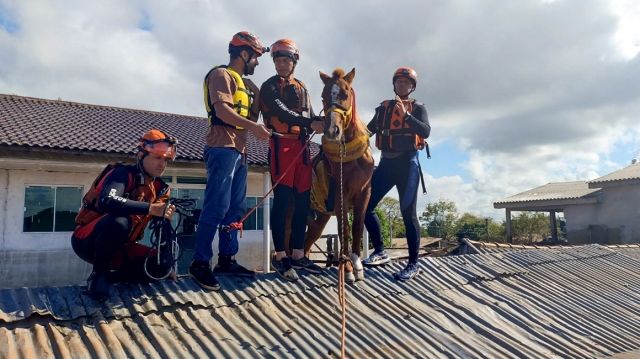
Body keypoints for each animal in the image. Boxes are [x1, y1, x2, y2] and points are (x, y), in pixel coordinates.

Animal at [300, 68, 376, 284]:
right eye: (323, 96)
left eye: (346, 93)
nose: (332, 131)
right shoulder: (340, 193)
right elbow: (345, 228)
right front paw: (348, 268)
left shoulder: (364, 192)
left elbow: (357, 225)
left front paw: (357, 264)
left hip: (318, 219)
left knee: (306, 243)